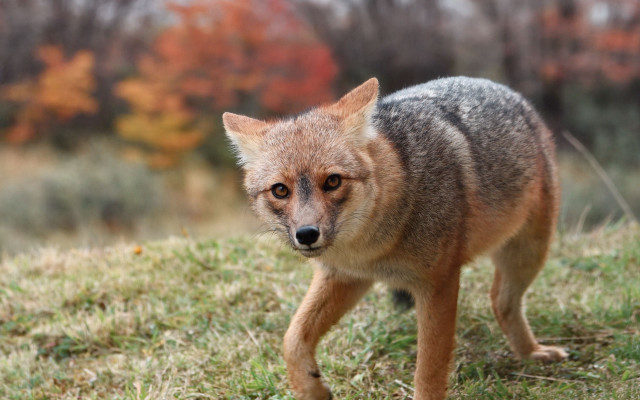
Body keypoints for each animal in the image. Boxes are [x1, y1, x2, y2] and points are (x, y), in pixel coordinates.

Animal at [223, 77, 568, 400]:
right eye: (281, 190)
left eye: (332, 182)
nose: (307, 234)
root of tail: (505, 90)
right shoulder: (346, 277)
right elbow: (292, 338)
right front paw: (311, 389)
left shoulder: (438, 285)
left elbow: (429, 368)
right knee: (499, 301)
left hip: (528, 252)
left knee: (501, 300)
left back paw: (532, 353)